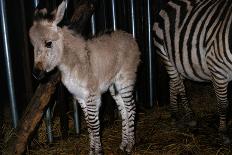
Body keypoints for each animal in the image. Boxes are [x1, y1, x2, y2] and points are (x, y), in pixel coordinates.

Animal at [28, 1, 140, 154]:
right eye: (33, 46)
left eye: (48, 43)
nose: (36, 73)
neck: (70, 64)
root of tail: (128, 35)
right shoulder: (80, 96)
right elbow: (88, 125)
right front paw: (92, 150)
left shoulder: (92, 96)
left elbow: (94, 125)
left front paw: (98, 151)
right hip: (114, 85)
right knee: (123, 109)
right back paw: (123, 144)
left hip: (125, 81)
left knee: (131, 108)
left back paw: (130, 145)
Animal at [154, 0, 232, 143]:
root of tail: (170, 3)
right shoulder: (218, 70)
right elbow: (223, 104)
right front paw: (223, 132)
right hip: (166, 56)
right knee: (180, 87)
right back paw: (191, 118)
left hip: (183, 64)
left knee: (173, 83)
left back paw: (174, 115)